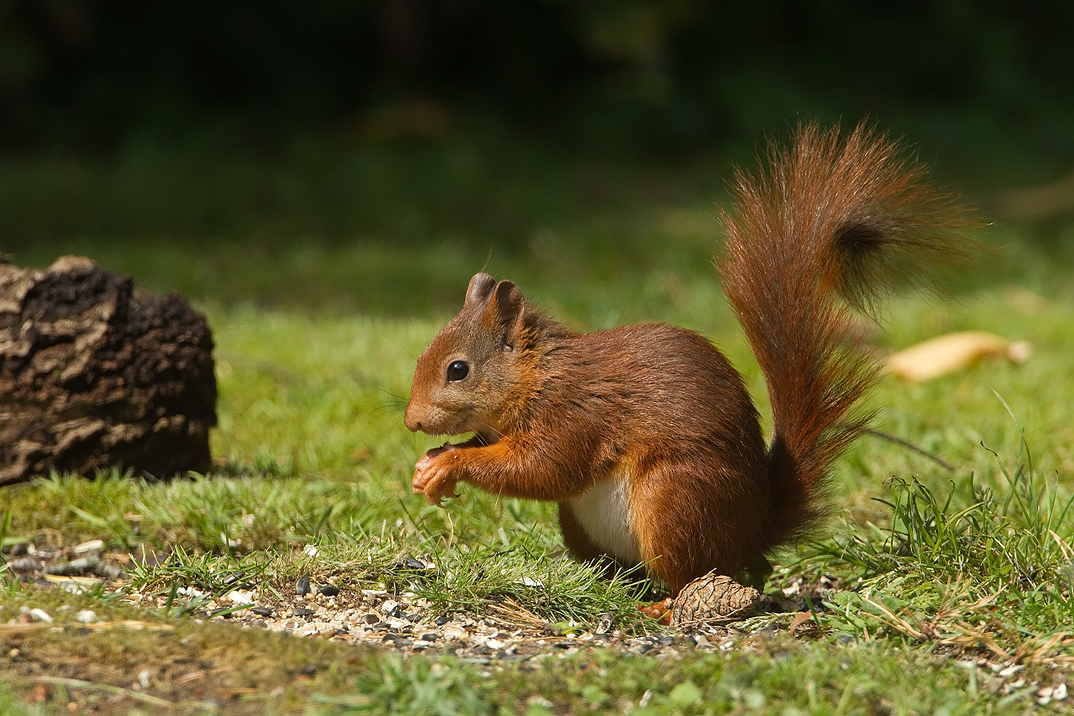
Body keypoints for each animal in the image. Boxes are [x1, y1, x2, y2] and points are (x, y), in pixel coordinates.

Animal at [403, 123, 975, 592]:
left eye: (458, 370)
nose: (411, 422)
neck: (536, 375)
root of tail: (752, 531)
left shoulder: (574, 415)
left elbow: (541, 468)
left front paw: (449, 463)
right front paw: (428, 465)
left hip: (674, 498)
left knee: (687, 575)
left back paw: (663, 606)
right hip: (589, 524)